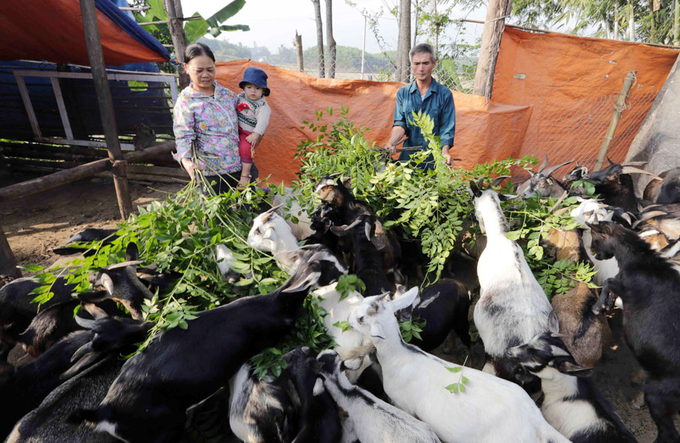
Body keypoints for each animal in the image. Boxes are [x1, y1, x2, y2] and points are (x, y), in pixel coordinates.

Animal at [588, 222, 680, 443]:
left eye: (596, 238)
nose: (594, 253)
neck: (640, 260)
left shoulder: (625, 287)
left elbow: (609, 281)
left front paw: (599, 306)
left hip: (658, 396)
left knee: (669, 434)